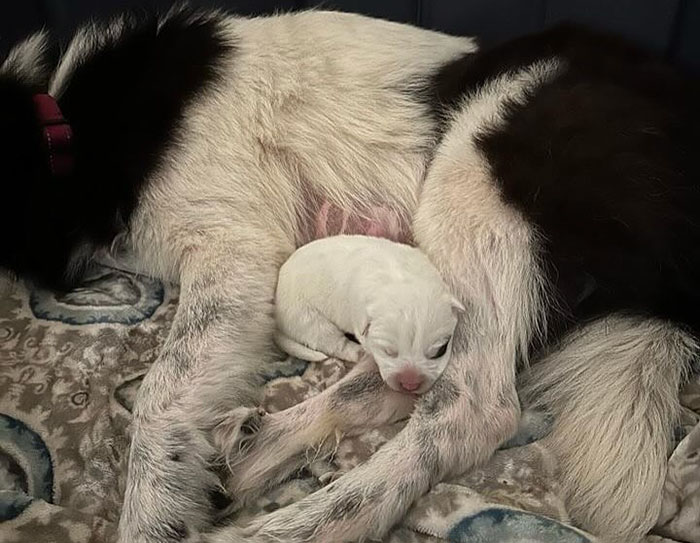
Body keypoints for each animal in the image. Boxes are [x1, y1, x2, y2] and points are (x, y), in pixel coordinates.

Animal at [274, 236, 464, 394]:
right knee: (332, 342)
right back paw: (356, 352)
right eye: (388, 351)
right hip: (307, 319)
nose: (410, 384)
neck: (400, 279)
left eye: (440, 351)